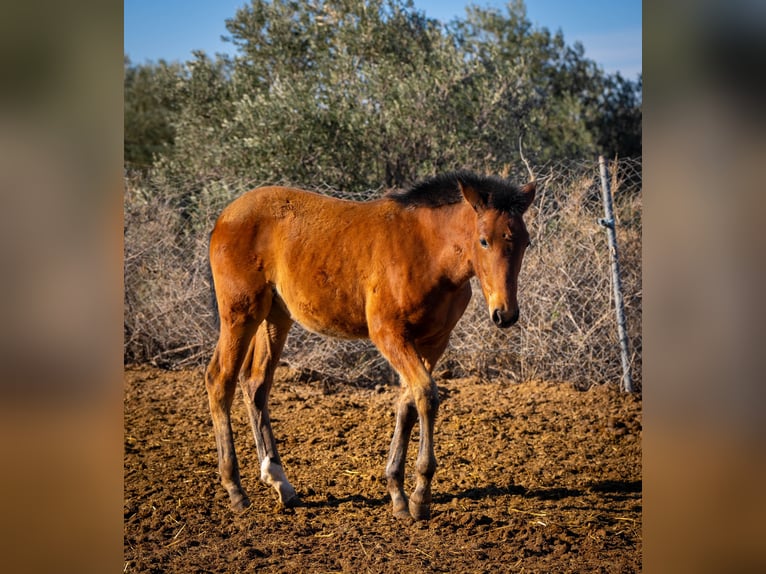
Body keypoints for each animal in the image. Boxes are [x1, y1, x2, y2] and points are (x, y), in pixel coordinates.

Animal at [207, 171, 536, 520]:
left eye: (525, 241)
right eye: (484, 240)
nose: (505, 314)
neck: (428, 252)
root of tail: (225, 217)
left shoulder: (433, 341)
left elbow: (409, 402)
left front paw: (398, 492)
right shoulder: (389, 334)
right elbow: (426, 395)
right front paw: (420, 496)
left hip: (275, 317)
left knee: (256, 384)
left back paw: (279, 481)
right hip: (240, 315)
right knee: (220, 380)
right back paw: (235, 488)